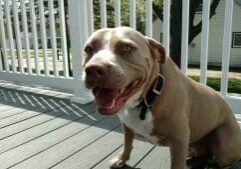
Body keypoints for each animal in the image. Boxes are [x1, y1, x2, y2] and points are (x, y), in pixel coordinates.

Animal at [83, 27, 241, 168]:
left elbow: (177, 165)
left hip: (223, 141)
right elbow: (127, 144)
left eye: (127, 48)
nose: (93, 69)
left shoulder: (179, 138)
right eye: (88, 49)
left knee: (221, 160)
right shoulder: (127, 126)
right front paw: (121, 159)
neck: (147, 98)